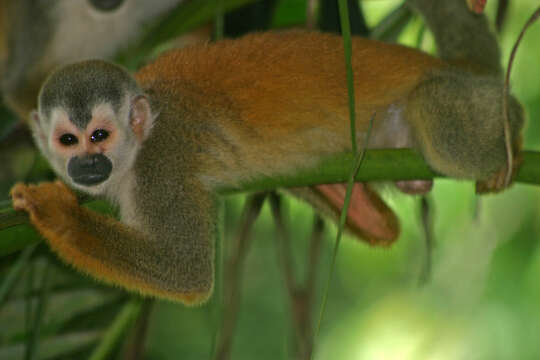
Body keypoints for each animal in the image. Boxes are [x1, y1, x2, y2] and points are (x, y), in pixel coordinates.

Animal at [8, 0, 524, 304]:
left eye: (99, 136)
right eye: (68, 140)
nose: (86, 163)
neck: (141, 139)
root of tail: (450, 63)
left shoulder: (164, 165)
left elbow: (186, 273)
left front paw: (57, 213)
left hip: (456, 94)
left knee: (440, 122)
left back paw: (512, 136)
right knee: (377, 216)